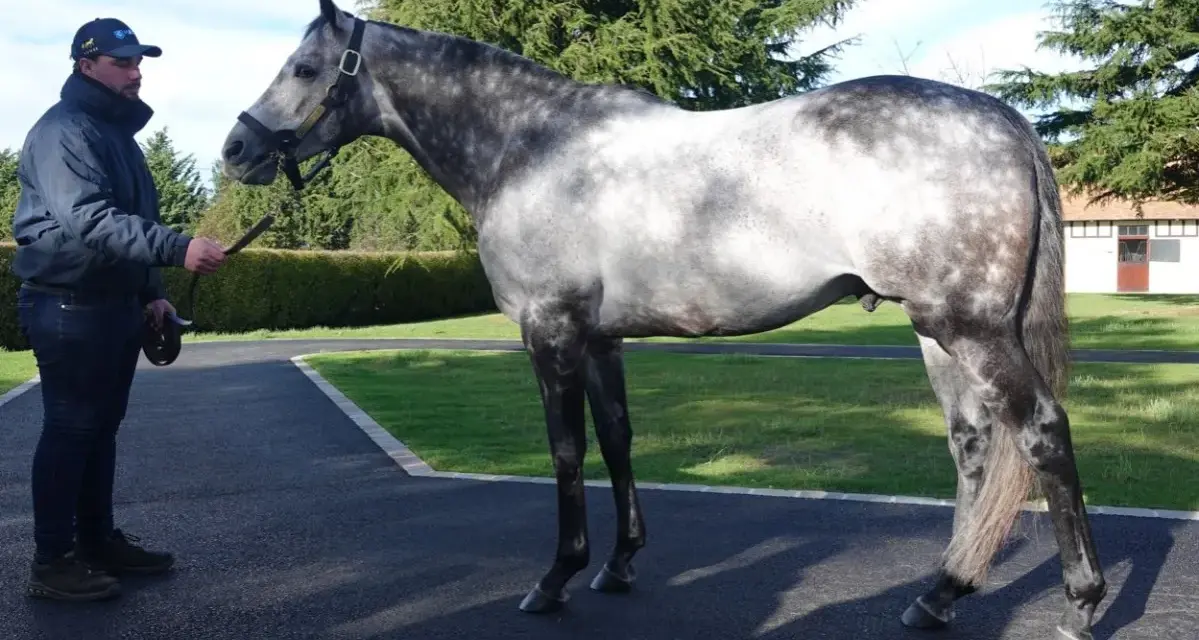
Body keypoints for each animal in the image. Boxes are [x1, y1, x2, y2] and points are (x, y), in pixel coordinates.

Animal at [219, 1, 1107, 637]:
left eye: (304, 67)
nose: (236, 149)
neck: (528, 148)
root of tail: (1000, 118)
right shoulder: (600, 339)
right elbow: (616, 440)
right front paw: (618, 566)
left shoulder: (549, 333)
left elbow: (566, 451)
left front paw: (555, 579)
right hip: (934, 332)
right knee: (972, 448)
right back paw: (939, 593)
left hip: (971, 329)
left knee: (1040, 433)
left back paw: (1078, 602)